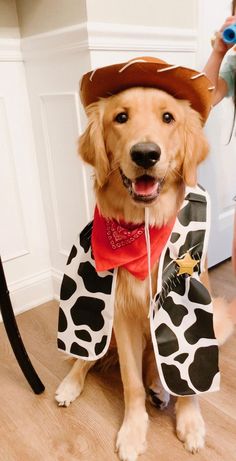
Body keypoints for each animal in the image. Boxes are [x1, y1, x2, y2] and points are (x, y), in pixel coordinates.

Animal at [55, 86, 234, 460]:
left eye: (168, 117)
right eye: (121, 117)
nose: (146, 154)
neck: (144, 228)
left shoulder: (192, 305)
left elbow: (184, 375)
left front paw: (190, 421)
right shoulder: (122, 316)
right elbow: (130, 382)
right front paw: (133, 432)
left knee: (155, 363)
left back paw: (159, 388)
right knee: (87, 357)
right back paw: (70, 384)